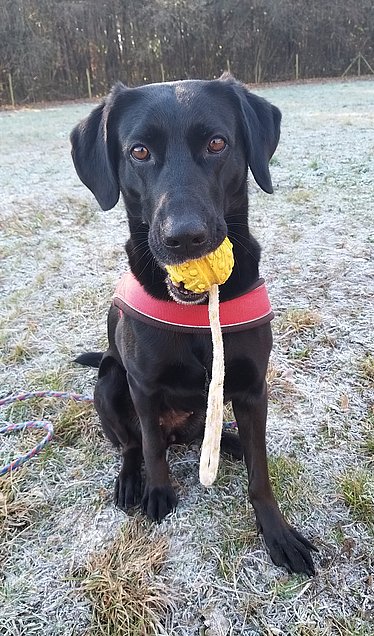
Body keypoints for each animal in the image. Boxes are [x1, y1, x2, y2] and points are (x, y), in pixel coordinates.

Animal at [70, 74, 316, 576]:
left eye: (217, 143)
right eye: (139, 151)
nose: (185, 238)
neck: (198, 313)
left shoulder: (252, 387)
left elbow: (261, 472)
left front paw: (277, 531)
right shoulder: (142, 385)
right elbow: (149, 447)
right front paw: (158, 492)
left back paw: (230, 442)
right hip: (109, 380)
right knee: (133, 444)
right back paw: (132, 480)